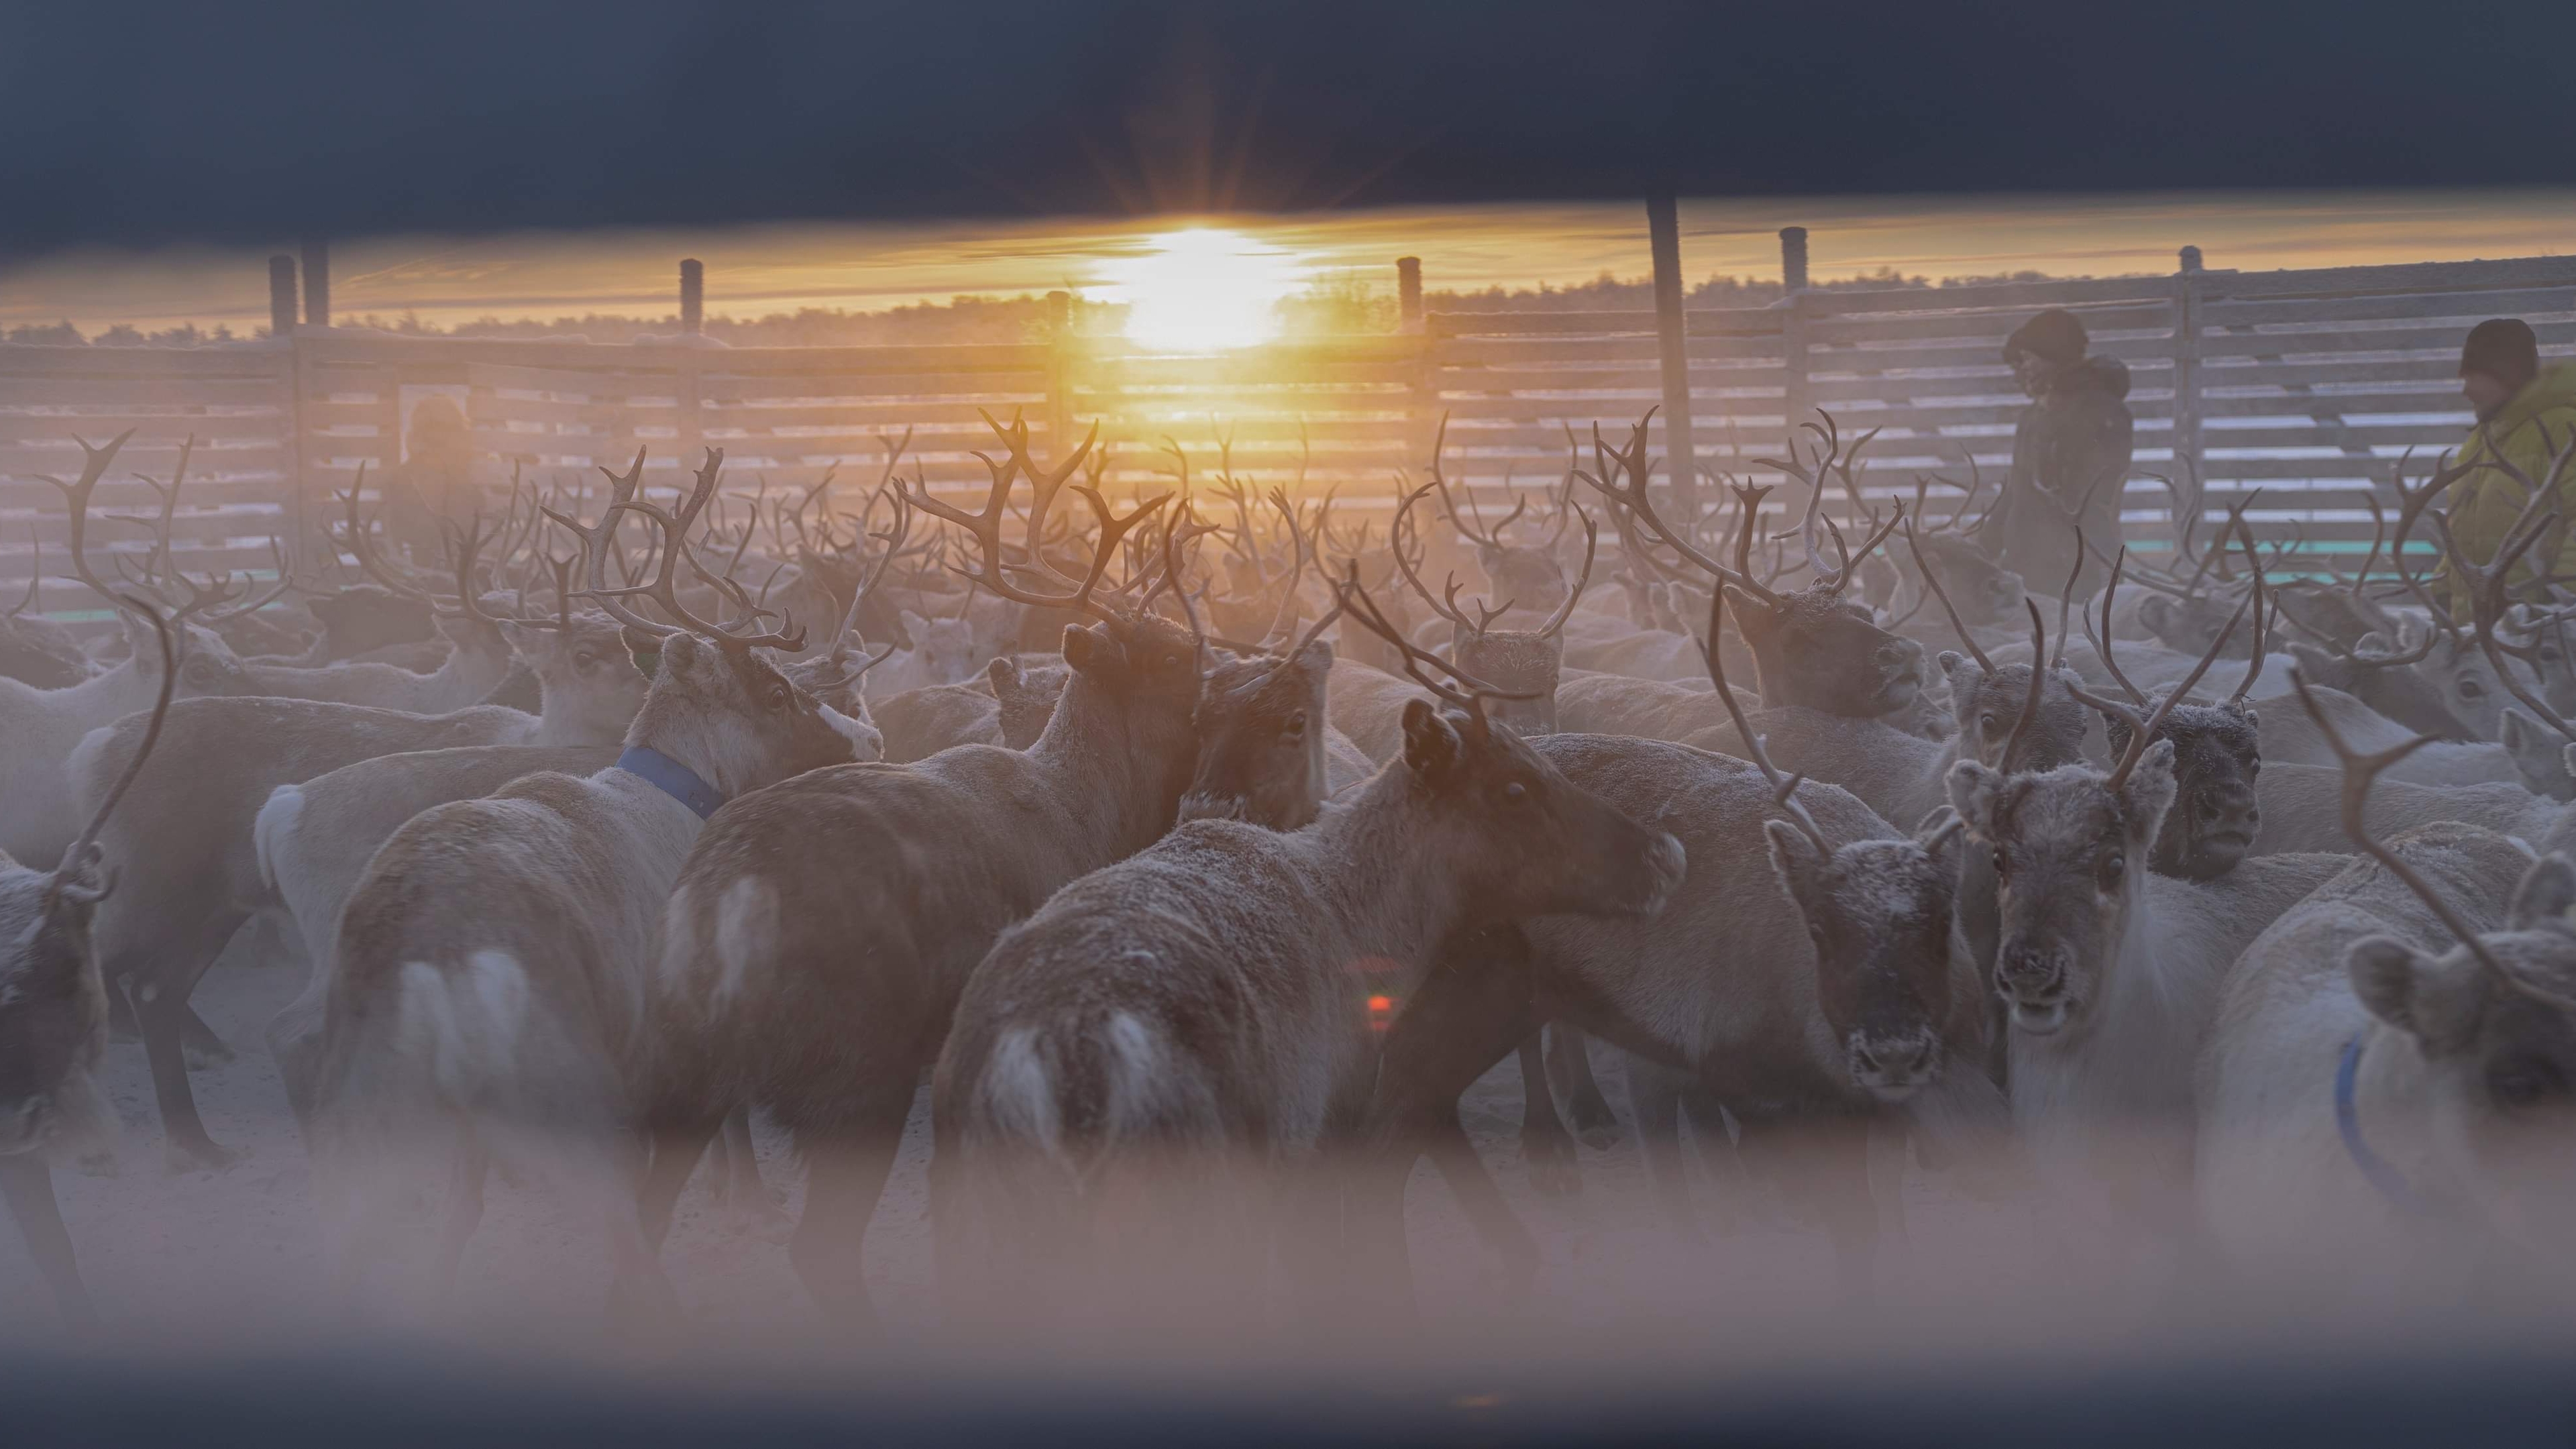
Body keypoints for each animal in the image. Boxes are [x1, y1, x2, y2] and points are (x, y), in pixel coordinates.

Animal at [304, 446, 870, 1299]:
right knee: (625, 1240)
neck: (676, 800)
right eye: (776, 692)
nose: (858, 743)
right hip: (568, 1096)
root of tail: (430, 964)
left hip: (368, 1118)